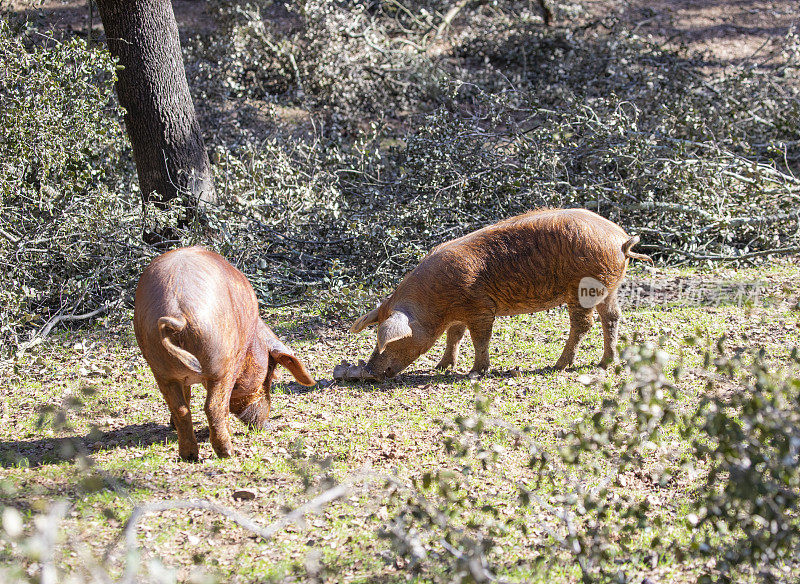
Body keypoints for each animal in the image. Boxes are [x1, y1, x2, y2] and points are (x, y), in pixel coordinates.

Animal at [134, 246, 316, 460]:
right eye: (270, 373)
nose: (267, 425)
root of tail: (177, 313)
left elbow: (186, 397)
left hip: (159, 366)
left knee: (180, 408)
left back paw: (189, 456)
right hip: (220, 365)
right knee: (213, 407)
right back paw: (228, 452)